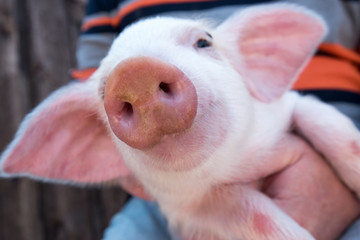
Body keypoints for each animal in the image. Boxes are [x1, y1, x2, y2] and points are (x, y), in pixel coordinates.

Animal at [0, 3, 360, 240]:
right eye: (102, 90)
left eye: (204, 41)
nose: (135, 72)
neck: (239, 163)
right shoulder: (189, 209)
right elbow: (254, 215)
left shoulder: (293, 105)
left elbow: (334, 130)